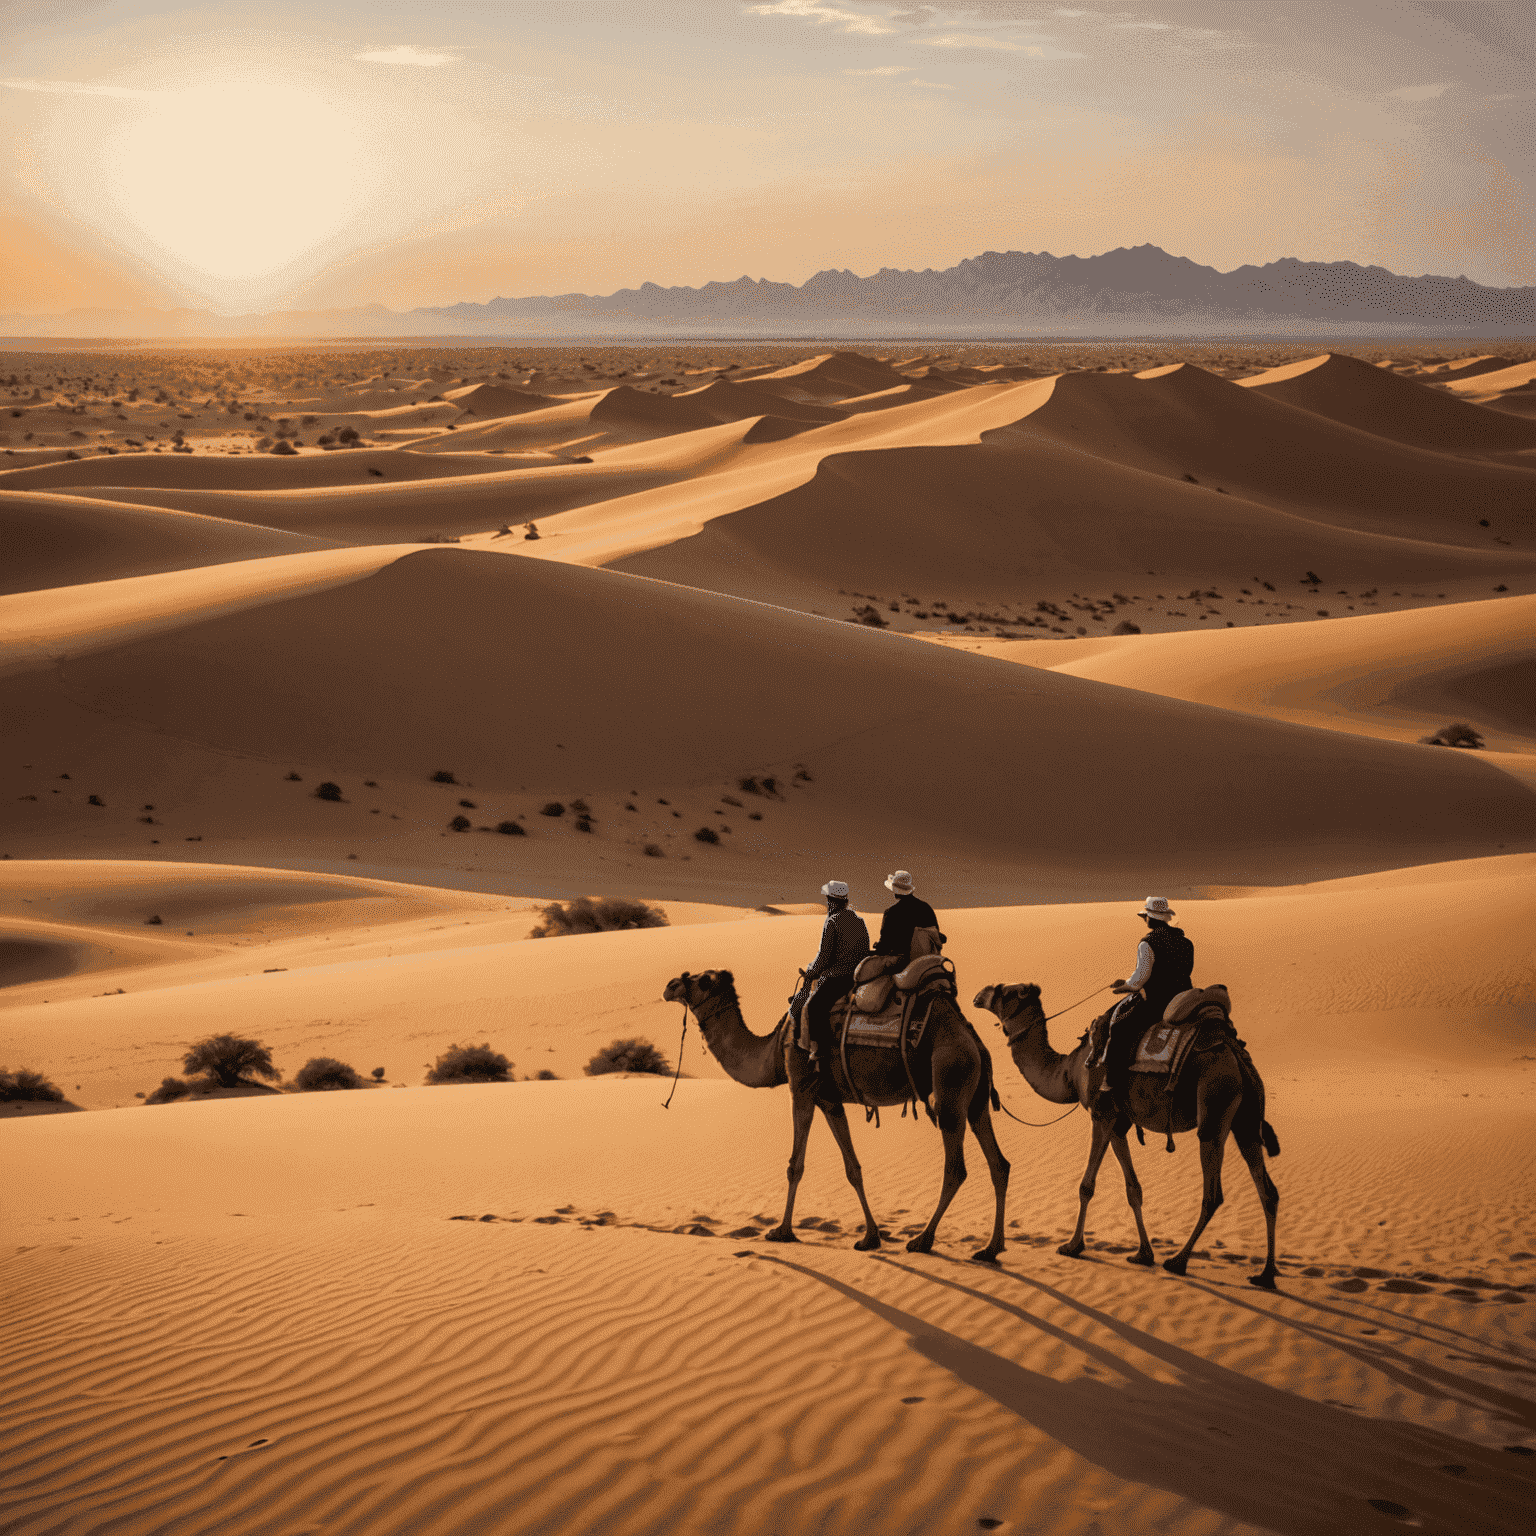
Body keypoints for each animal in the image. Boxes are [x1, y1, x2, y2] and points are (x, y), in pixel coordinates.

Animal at [660, 970, 1007, 1259]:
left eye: (704, 980)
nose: (671, 985)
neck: (775, 1049)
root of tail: (972, 1037)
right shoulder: (828, 1099)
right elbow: (852, 1167)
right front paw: (870, 1237)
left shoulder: (801, 1087)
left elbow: (795, 1166)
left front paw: (782, 1231)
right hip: (975, 1097)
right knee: (999, 1164)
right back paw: (990, 1248)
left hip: (950, 1081)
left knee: (956, 1168)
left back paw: (922, 1240)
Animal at [970, 983, 1284, 1284]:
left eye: (1005, 991)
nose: (978, 995)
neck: (1071, 1070)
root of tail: (1238, 1059)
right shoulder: (1119, 1124)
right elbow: (1133, 1189)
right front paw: (1143, 1254)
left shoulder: (1101, 1114)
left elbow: (1086, 1185)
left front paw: (1072, 1246)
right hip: (1246, 1120)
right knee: (1267, 1191)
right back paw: (1266, 1274)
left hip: (1214, 1104)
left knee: (1213, 1193)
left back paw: (1178, 1261)